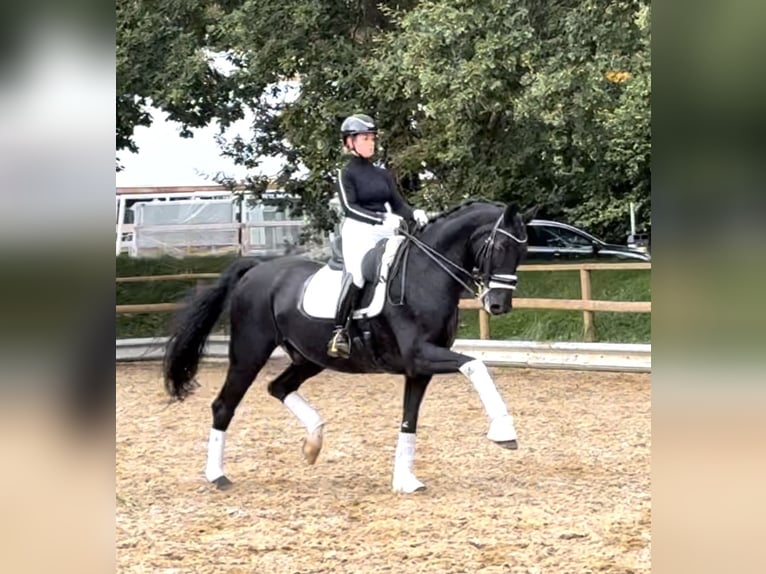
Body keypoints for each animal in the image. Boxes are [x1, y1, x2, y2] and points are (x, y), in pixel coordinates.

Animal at [165, 200, 536, 492]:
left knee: (278, 387)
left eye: (523, 252)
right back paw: (217, 475)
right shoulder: (421, 355)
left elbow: (409, 420)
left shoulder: (418, 369)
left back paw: (313, 444)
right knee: (224, 406)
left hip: (309, 358)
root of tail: (257, 268)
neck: (427, 273)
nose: (499, 305)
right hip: (249, 353)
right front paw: (504, 431)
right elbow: (476, 364)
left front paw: (405, 480)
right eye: (499, 248)